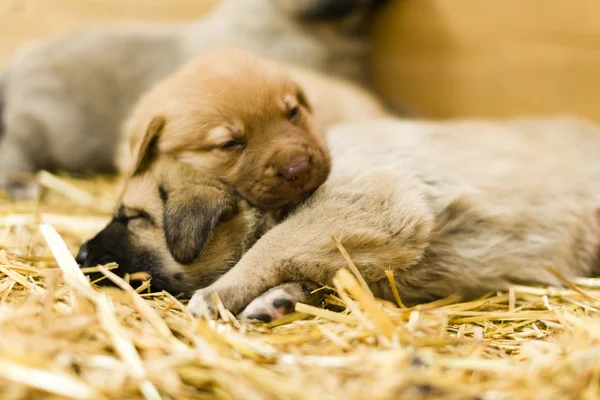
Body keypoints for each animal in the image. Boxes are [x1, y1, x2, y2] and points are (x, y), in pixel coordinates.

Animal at [0, 0, 386, 199]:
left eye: (294, 113)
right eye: (230, 144)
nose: (300, 169)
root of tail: (18, 63)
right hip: (48, 124)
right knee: (15, 147)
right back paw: (20, 184)